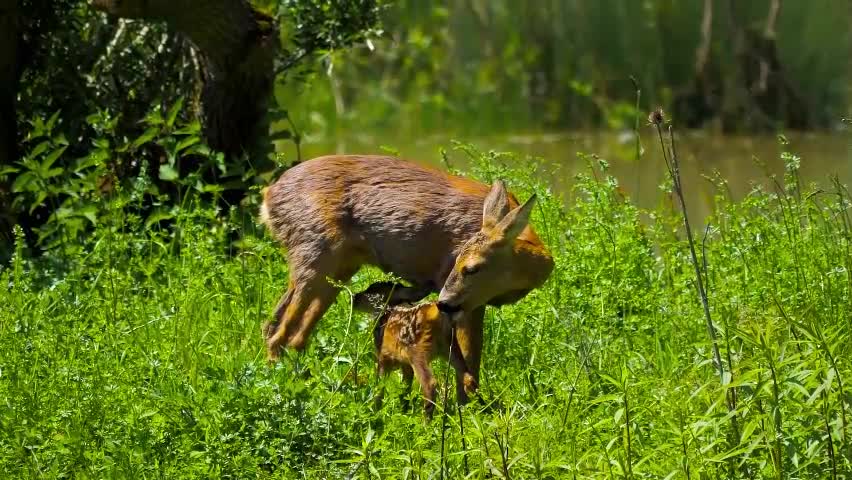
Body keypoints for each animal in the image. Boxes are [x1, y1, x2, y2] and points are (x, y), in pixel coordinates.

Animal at [260, 156, 552, 400]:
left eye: (471, 268)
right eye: (459, 262)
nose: (443, 302)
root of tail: (268, 196)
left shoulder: (473, 303)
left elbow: (471, 359)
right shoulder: (463, 300)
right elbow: (469, 358)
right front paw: (469, 409)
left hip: (336, 270)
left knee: (284, 331)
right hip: (315, 254)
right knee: (280, 335)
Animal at [350, 282, 476, 416]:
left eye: (371, 290)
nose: (354, 297)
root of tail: (437, 313)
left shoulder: (384, 357)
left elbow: (380, 386)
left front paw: (374, 412)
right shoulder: (405, 363)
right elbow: (405, 388)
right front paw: (403, 411)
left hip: (417, 351)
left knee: (429, 384)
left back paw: (426, 420)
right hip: (450, 346)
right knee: (469, 378)